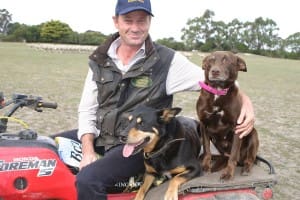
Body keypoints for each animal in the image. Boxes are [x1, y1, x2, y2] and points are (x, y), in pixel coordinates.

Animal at [196, 50, 258, 180]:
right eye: (211, 59)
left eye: (227, 60)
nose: (214, 71)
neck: (218, 91)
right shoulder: (203, 124)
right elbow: (207, 149)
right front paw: (205, 165)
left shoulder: (237, 127)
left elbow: (233, 156)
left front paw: (228, 173)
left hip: (253, 134)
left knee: (249, 158)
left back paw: (246, 168)